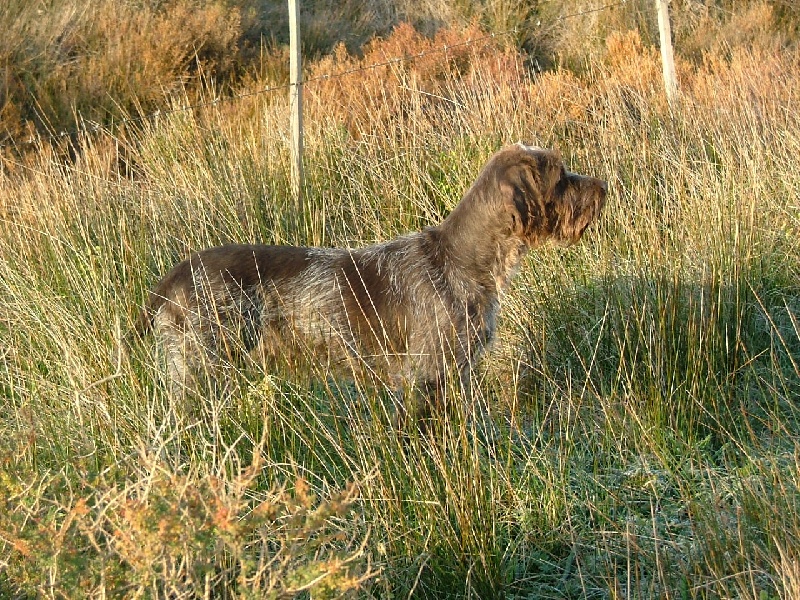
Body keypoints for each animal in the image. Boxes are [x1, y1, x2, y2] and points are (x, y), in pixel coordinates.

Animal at [130, 143, 608, 420]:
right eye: (561, 177)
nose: (602, 187)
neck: (461, 260)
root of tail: (175, 274)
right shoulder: (427, 377)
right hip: (200, 372)